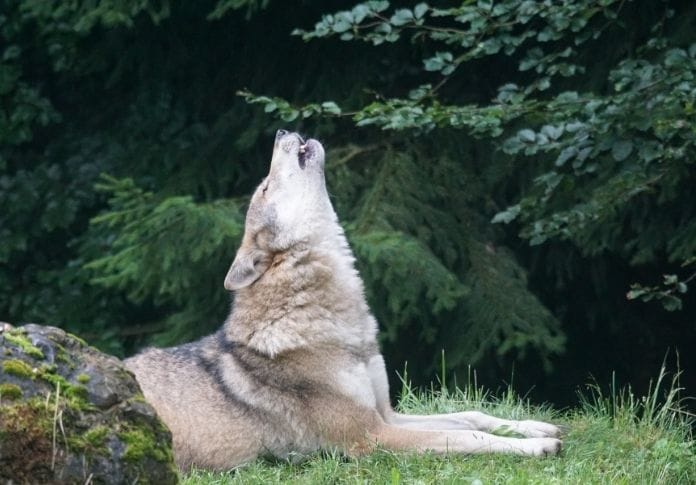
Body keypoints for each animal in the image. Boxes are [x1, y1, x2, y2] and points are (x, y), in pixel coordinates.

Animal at [125, 130, 562, 470]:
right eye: (264, 188)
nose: (282, 130)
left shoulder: (386, 414)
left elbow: (470, 416)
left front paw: (535, 426)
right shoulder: (370, 437)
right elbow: (465, 437)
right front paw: (537, 446)